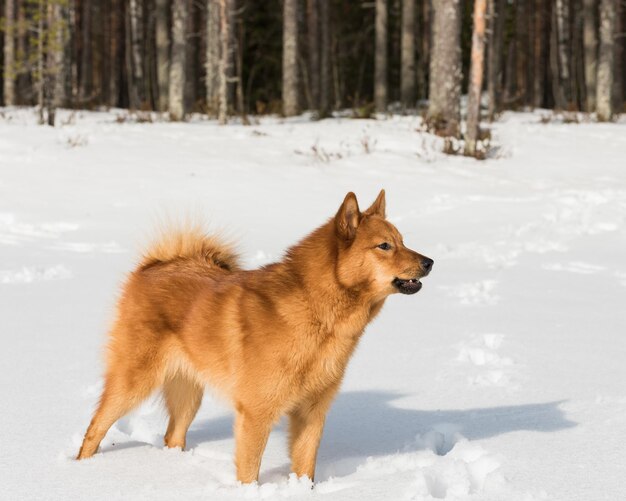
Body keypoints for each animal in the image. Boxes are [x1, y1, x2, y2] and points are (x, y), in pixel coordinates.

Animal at [75, 189, 432, 482]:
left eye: (403, 241)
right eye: (384, 246)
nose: (429, 262)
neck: (316, 313)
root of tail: (154, 266)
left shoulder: (312, 413)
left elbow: (305, 468)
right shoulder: (256, 414)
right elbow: (249, 471)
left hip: (188, 395)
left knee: (172, 437)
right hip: (133, 383)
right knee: (95, 427)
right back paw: (83, 469)